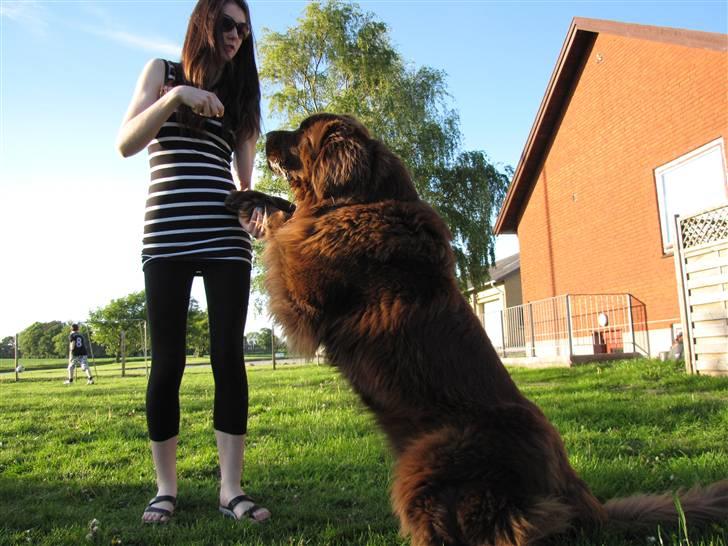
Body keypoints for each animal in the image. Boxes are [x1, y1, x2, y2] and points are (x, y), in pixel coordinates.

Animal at [225, 112, 724, 540]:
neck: (365, 200)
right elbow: (287, 212)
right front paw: (249, 198)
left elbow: (287, 231)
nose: (263, 137)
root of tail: (578, 492)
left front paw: (258, 207)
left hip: (429, 460)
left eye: (300, 133)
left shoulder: (303, 291)